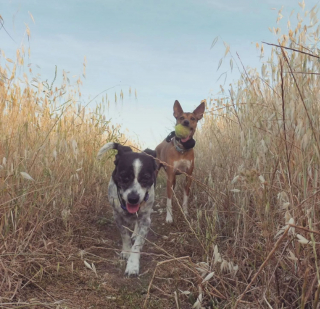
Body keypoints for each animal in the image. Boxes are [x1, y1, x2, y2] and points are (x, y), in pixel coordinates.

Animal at [97, 141, 158, 274]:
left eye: (146, 178)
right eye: (124, 177)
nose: (133, 198)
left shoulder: (146, 220)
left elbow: (138, 244)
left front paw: (132, 265)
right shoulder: (117, 216)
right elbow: (124, 235)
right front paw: (126, 251)